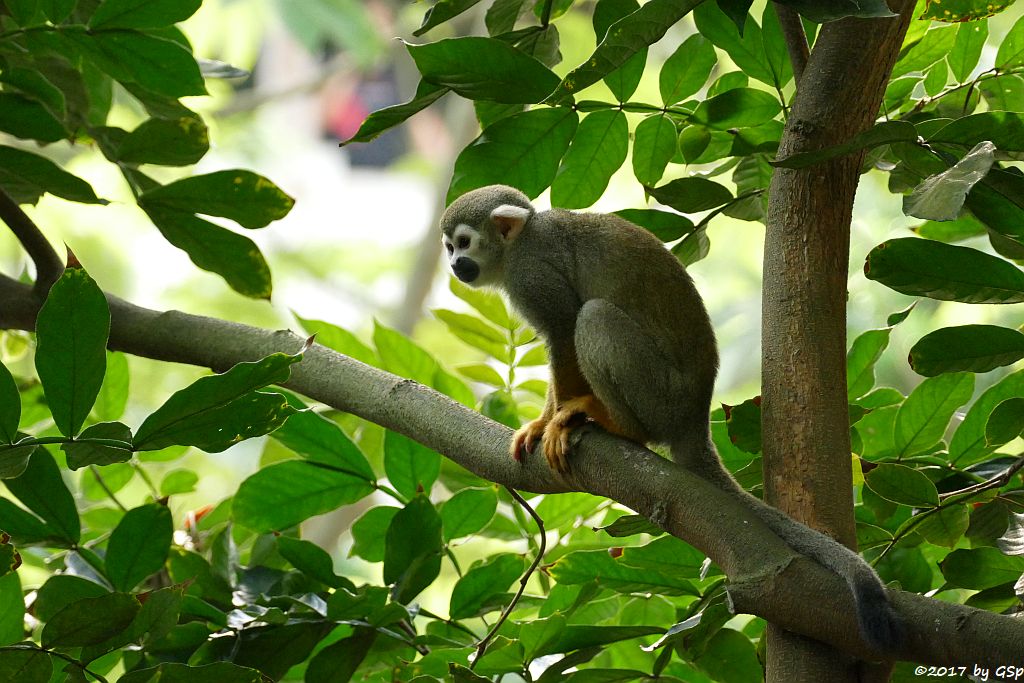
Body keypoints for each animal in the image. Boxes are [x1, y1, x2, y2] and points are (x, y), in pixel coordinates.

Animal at [440, 185, 905, 651]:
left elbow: (563, 328)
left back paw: (614, 423)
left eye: (463, 243)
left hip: (662, 398)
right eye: (449, 247)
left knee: (594, 317)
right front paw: (541, 423)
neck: (517, 244)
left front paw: (552, 420)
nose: (455, 265)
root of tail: (694, 419)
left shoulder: (532, 273)